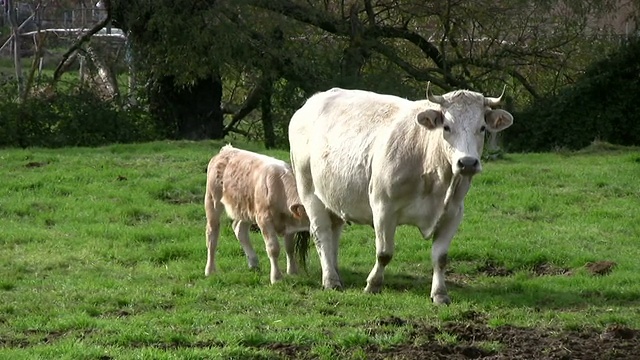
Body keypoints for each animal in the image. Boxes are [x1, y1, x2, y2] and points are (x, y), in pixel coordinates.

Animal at [201, 145, 308, 282]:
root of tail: (227, 150)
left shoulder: (290, 223)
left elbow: (289, 247)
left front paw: (293, 272)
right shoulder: (264, 220)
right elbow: (273, 248)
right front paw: (276, 278)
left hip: (246, 209)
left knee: (239, 229)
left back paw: (253, 263)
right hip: (212, 201)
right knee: (212, 235)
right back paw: (210, 270)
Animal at [288, 83, 512, 304]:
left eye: (482, 128)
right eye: (447, 127)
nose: (467, 163)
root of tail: (311, 102)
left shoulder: (453, 213)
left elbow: (440, 258)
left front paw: (440, 294)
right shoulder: (383, 207)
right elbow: (384, 253)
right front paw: (373, 285)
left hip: (334, 197)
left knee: (333, 234)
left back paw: (334, 271)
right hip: (309, 190)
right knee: (321, 234)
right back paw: (331, 280)